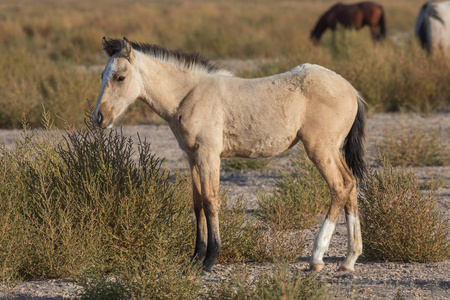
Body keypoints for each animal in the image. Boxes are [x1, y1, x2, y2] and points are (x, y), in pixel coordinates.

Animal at [92, 37, 366, 272]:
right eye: (103, 75)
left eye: (120, 77)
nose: (99, 118)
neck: (188, 95)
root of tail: (352, 89)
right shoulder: (192, 156)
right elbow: (197, 203)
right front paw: (195, 257)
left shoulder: (209, 154)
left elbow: (211, 201)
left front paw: (210, 259)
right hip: (331, 150)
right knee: (350, 183)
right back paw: (348, 260)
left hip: (320, 148)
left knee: (339, 187)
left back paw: (317, 257)